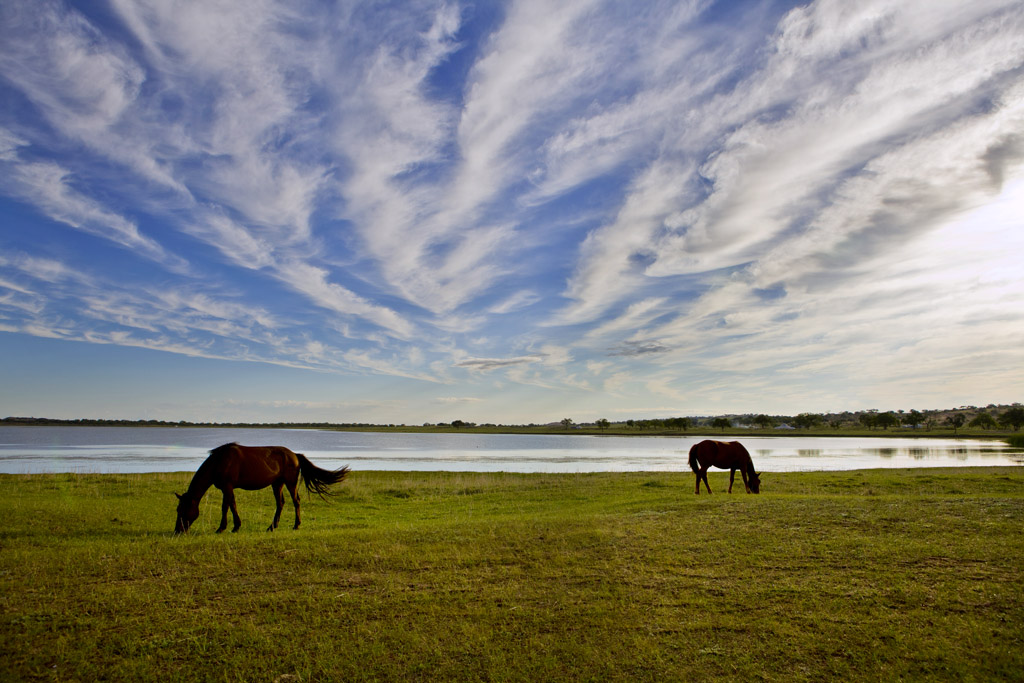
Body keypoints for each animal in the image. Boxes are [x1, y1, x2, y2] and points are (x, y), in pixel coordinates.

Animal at [174, 444, 350, 532]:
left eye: (182, 510)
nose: (178, 530)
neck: (219, 461)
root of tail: (294, 455)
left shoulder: (227, 487)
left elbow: (226, 506)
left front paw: (223, 528)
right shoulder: (228, 488)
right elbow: (232, 505)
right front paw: (236, 526)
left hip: (290, 482)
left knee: (296, 501)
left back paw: (296, 525)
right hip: (277, 484)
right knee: (280, 503)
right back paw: (272, 526)